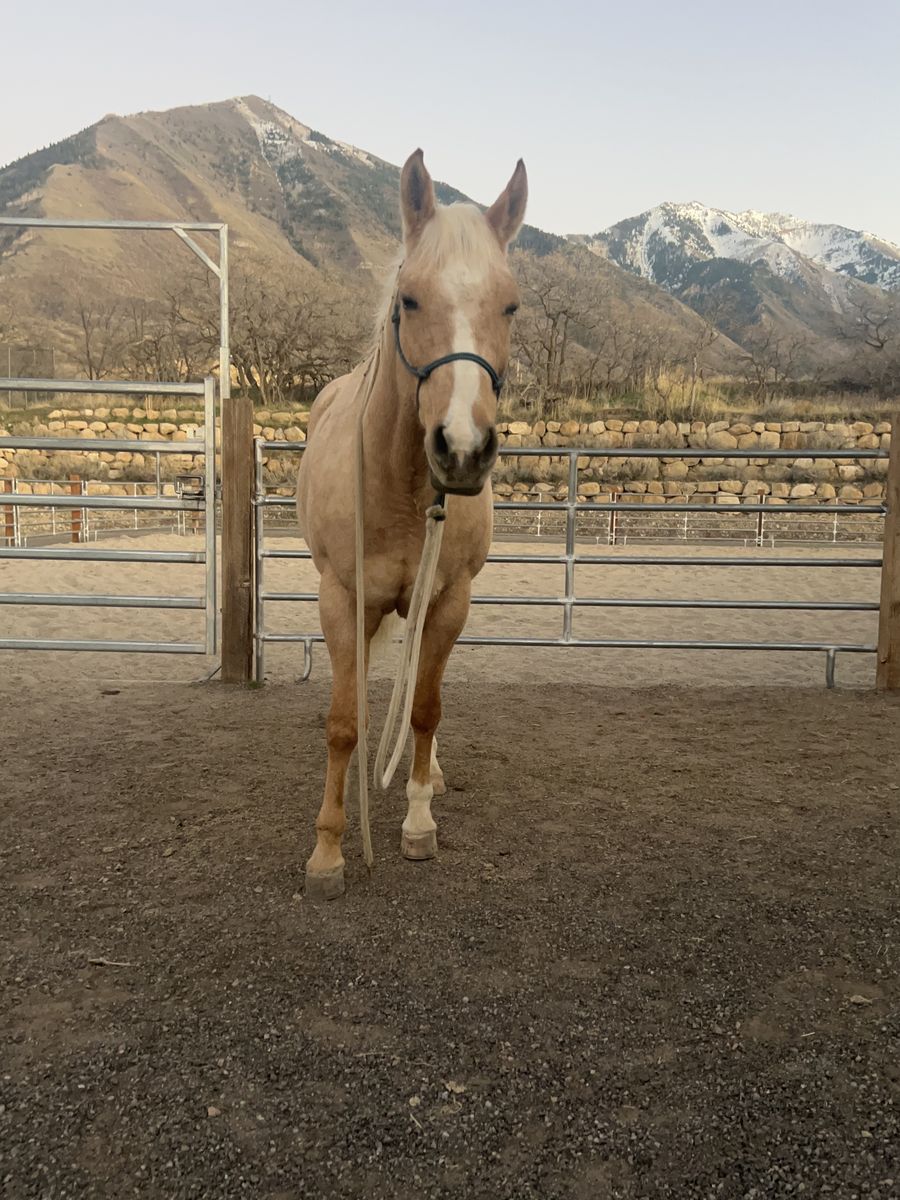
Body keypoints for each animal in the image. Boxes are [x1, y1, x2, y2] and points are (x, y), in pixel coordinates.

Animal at [296, 149, 527, 899]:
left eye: (510, 304)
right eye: (410, 300)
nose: (461, 448)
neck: (399, 488)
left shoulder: (448, 600)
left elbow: (426, 708)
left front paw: (419, 821)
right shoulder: (343, 599)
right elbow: (345, 722)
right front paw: (329, 851)